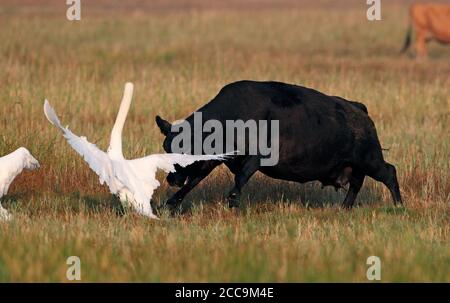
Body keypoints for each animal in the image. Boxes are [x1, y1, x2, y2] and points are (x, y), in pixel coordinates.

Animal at [156, 81, 402, 211]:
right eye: (167, 149)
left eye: (186, 150)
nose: (171, 179)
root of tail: (357, 108)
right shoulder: (212, 161)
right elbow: (193, 182)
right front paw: (170, 203)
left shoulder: (255, 157)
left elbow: (240, 177)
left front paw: (233, 199)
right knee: (357, 183)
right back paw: (344, 208)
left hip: (370, 159)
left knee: (389, 172)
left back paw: (399, 205)